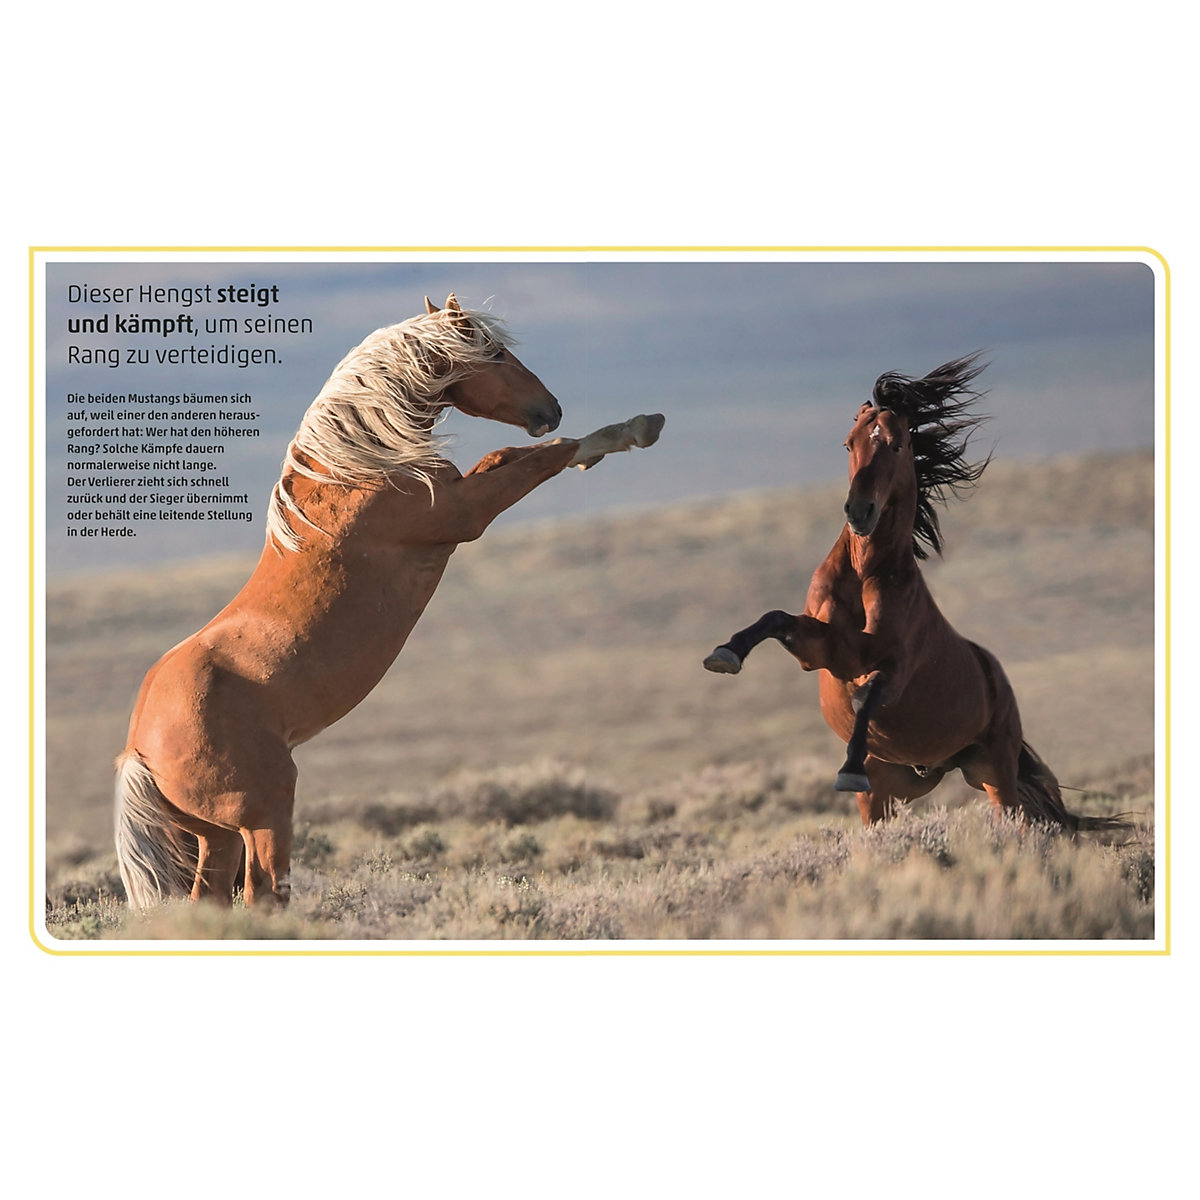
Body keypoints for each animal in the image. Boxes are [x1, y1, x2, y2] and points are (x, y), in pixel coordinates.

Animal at [115, 294, 665, 907]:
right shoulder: (466, 514)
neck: (355, 471)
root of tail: (139, 750)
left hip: (218, 835)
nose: (552, 409)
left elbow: (510, 454)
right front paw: (635, 430)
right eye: (496, 353)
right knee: (264, 894)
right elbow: (545, 457)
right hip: (264, 815)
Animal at [703, 353, 1122, 832]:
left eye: (898, 445)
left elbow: (866, 695)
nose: (859, 512)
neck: (866, 573)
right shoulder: (822, 650)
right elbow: (774, 619)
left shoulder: (892, 669)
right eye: (848, 444)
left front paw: (849, 767)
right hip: (892, 791)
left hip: (995, 774)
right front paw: (724, 654)